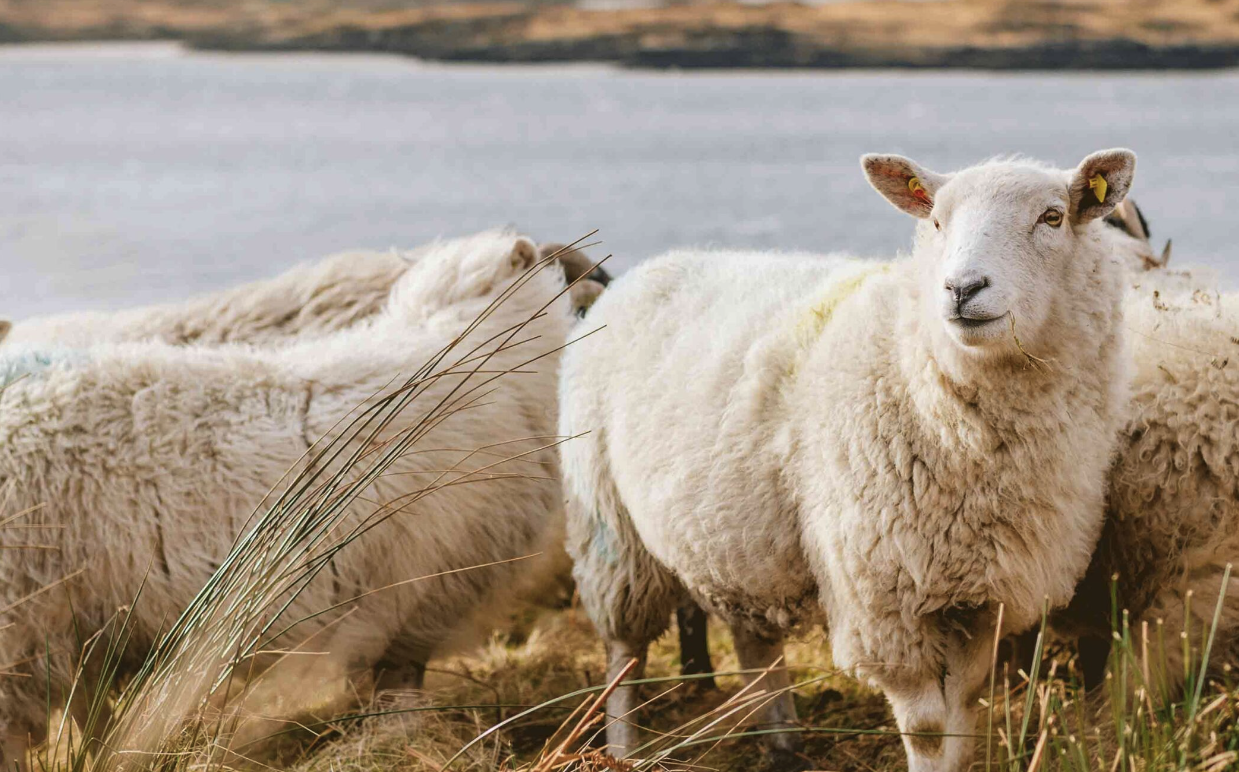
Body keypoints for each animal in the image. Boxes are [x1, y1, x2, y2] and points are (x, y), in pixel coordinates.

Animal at [562, 152, 1139, 772]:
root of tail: (643, 272)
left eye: (1052, 217)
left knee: (754, 639)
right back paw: (623, 747)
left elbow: (962, 712)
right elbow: (928, 730)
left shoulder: (983, 597)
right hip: (609, 526)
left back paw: (783, 743)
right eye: (936, 221)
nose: (962, 288)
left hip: (735, 537)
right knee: (625, 650)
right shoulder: (884, 600)